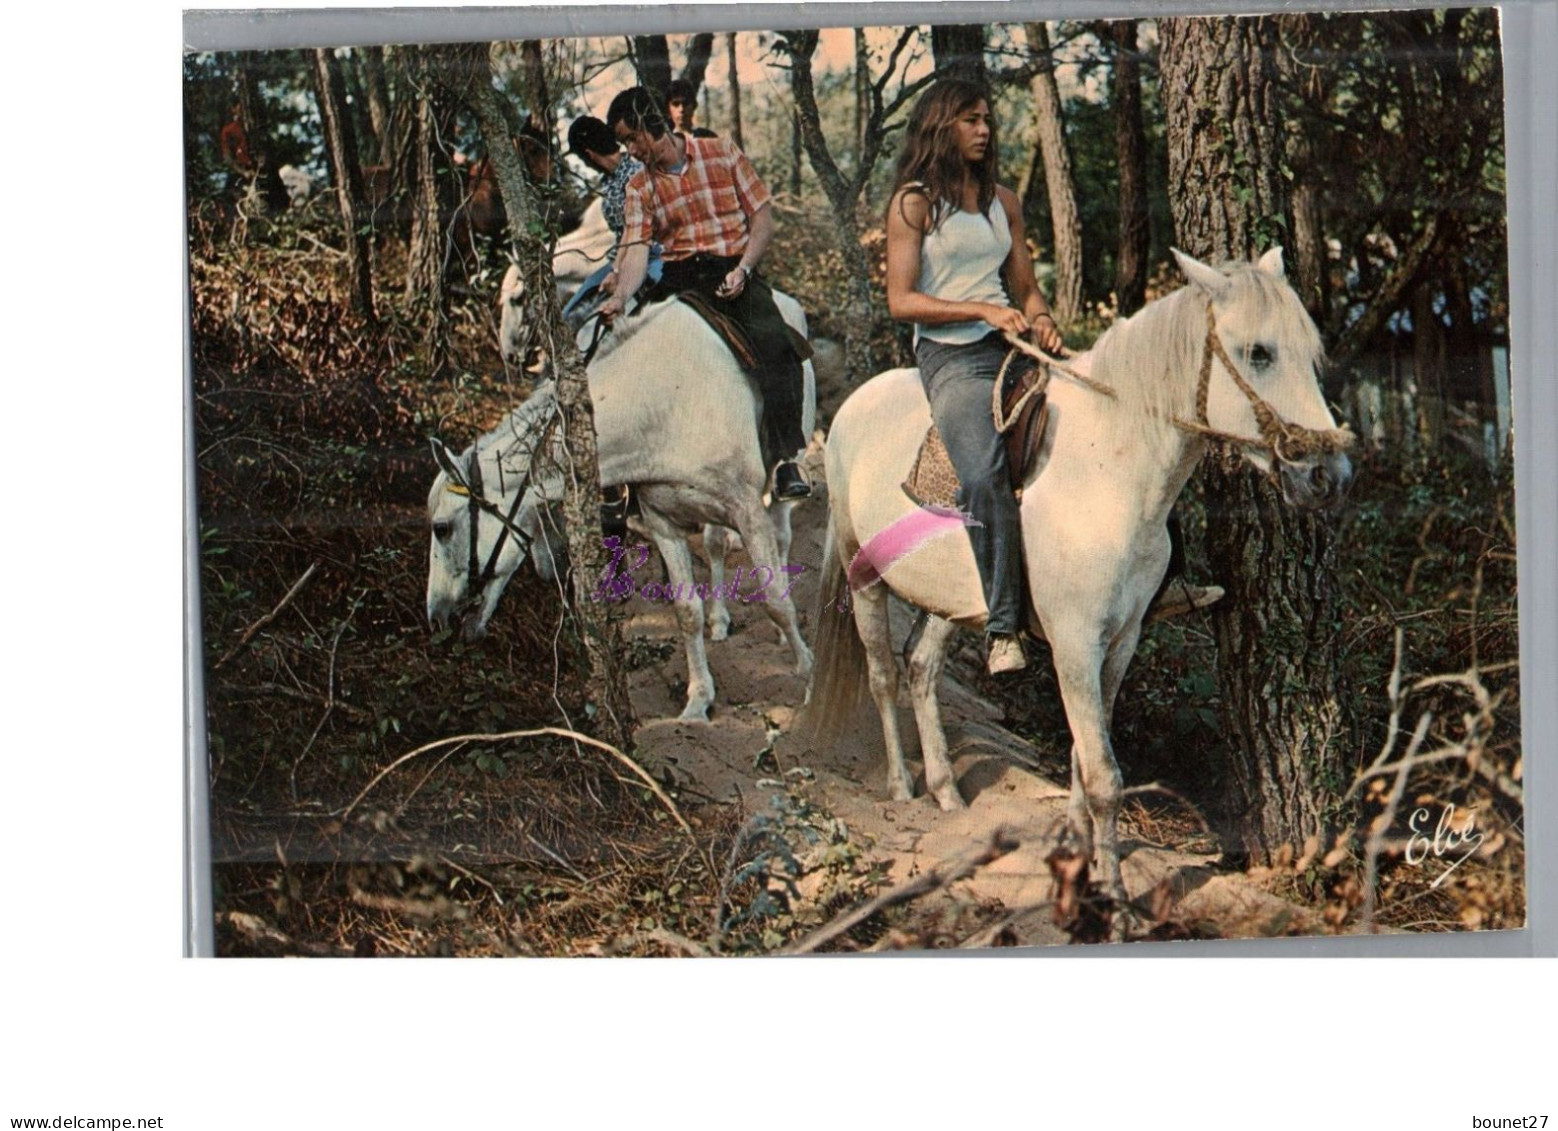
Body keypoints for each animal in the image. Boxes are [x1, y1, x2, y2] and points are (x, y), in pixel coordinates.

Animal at [426, 285, 816, 725]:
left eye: (443, 528)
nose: (436, 616)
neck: (664, 406)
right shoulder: (664, 525)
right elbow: (687, 612)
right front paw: (698, 700)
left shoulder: (748, 513)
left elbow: (776, 600)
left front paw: (808, 675)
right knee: (715, 547)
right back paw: (720, 621)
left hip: (780, 486)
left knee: (781, 542)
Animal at [803, 250, 1352, 922]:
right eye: (1259, 353)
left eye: (1310, 353)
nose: (1328, 475)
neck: (1110, 470)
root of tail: (855, 403)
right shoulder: (1074, 645)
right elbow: (1104, 776)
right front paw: (1114, 899)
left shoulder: (1118, 643)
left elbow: (1080, 759)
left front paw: (1076, 858)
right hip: (864, 578)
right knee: (883, 673)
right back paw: (903, 787)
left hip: (952, 602)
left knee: (921, 668)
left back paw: (946, 792)